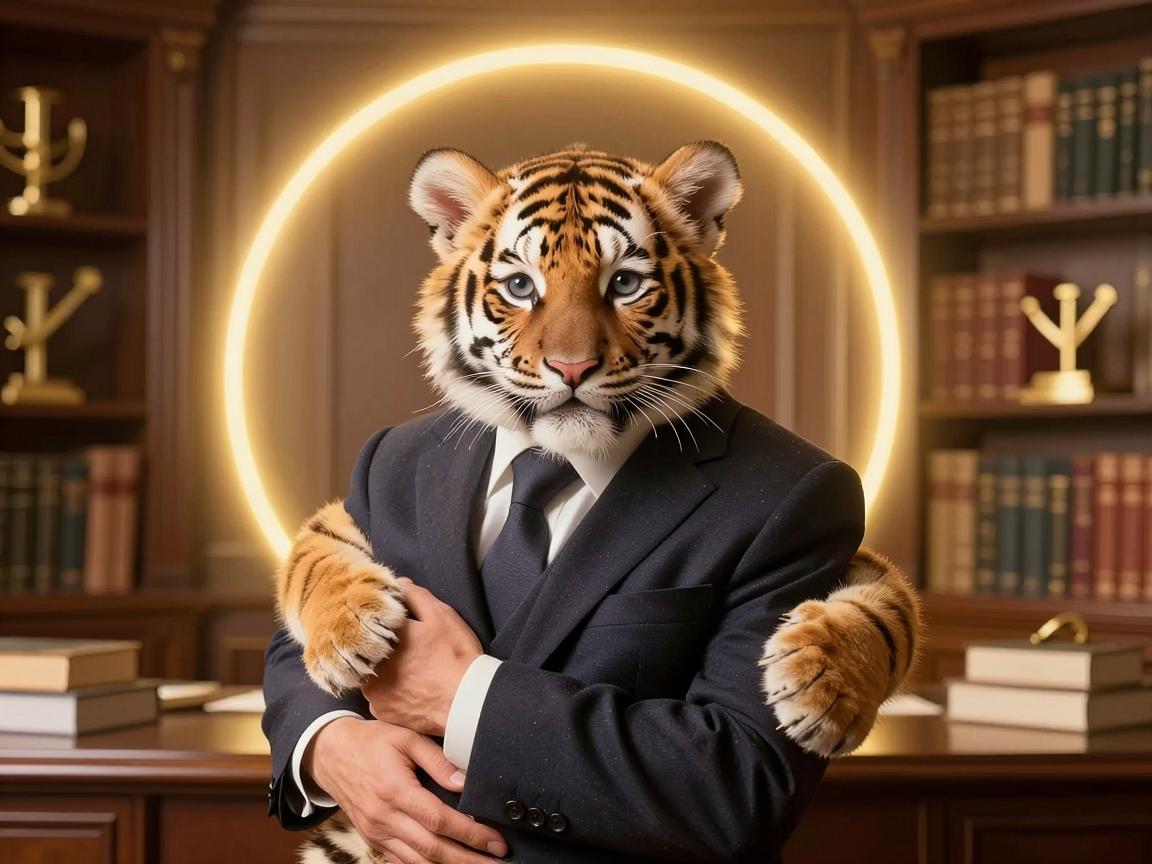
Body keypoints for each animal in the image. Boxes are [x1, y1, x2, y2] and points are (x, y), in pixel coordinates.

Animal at [276, 142, 922, 863]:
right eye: (521, 286)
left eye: (625, 283)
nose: (572, 367)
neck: (554, 454)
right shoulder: (349, 506)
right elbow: (311, 562)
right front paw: (348, 636)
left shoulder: (821, 529)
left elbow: (885, 610)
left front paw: (820, 688)